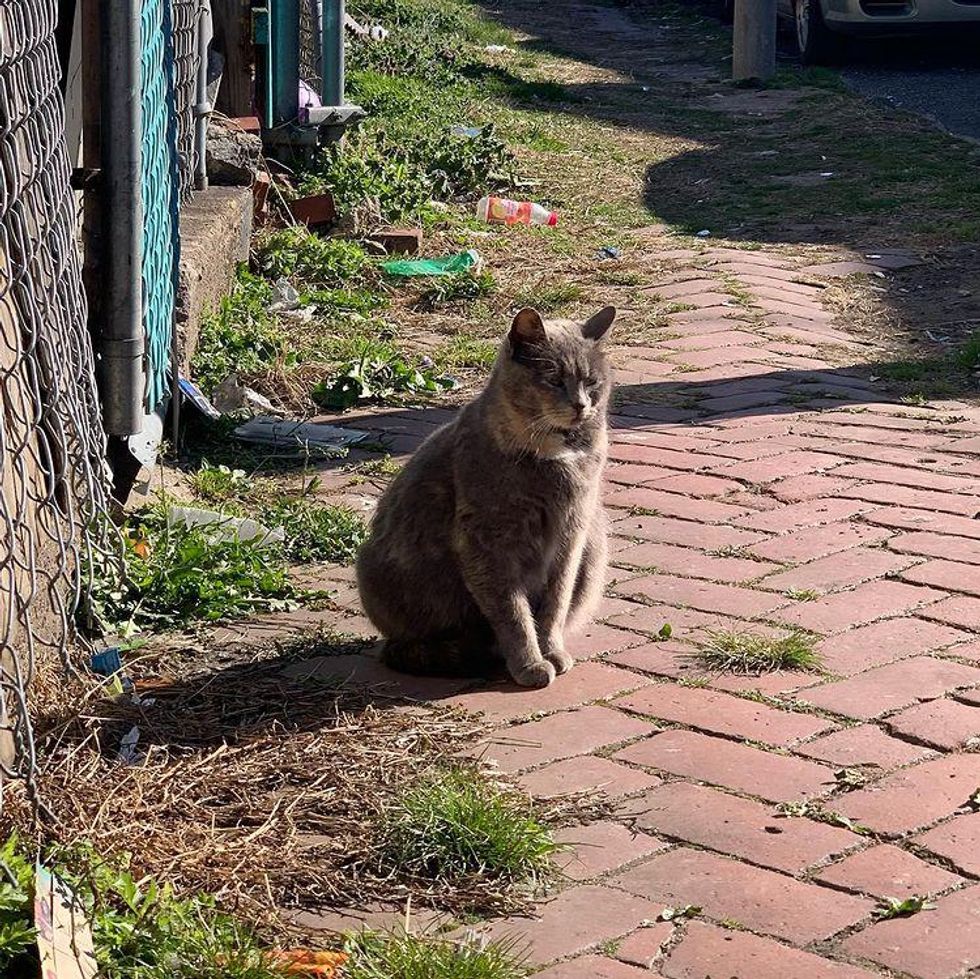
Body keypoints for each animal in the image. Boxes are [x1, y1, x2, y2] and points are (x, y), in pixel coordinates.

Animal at [356, 306, 616, 688]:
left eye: (592, 382)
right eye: (554, 379)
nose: (581, 405)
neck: (556, 459)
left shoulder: (572, 536)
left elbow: (555, 604)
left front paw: (551, 652)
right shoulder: (488, 543)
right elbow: (513, 613)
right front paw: (530, 665)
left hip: (595, 544)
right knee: (410, 647)